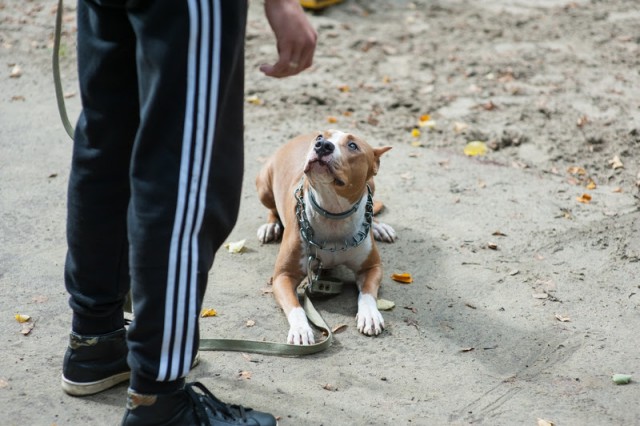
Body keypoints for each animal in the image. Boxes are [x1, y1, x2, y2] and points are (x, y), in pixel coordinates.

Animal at [255, 128, 396, 344]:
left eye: (353, 145)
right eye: (321, 137)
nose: (322, 145)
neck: (332, 212)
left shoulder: (372, 267)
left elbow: (367, 293)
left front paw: (370, 315)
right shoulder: (282, 276)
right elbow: (295, 306)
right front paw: (301, 329)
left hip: (372, 183)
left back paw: (379, 228)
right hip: (264, 186)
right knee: (272, 209)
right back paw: (270, 226)